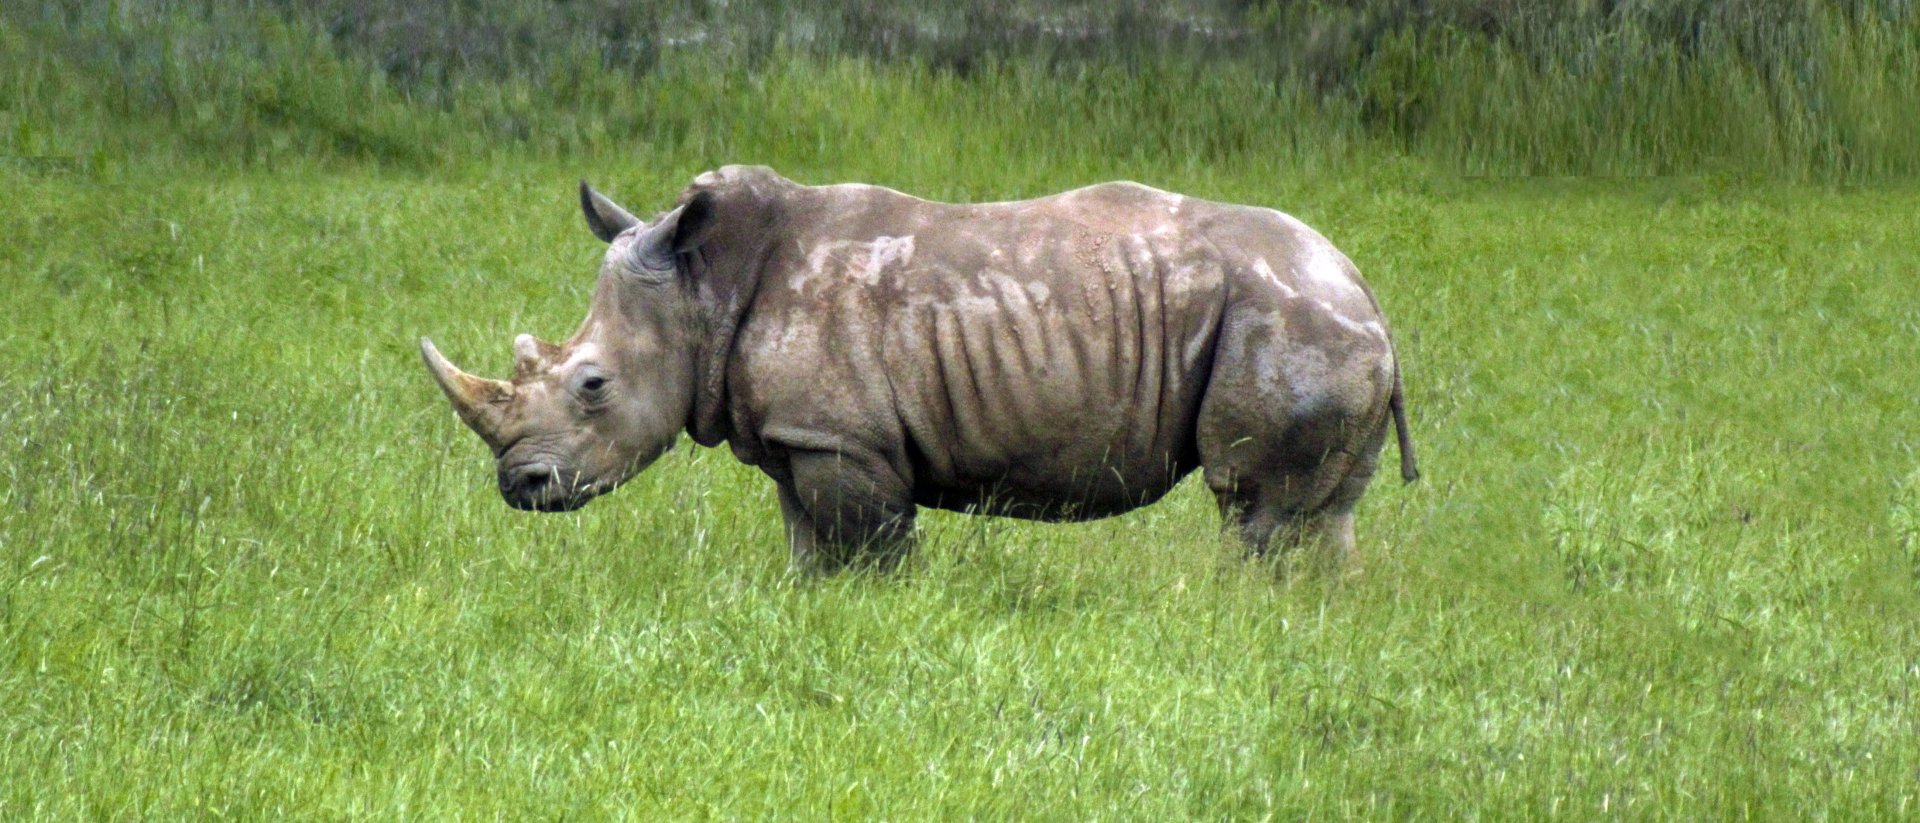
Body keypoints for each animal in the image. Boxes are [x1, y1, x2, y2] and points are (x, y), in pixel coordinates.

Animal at [421, 166, 1417, 572]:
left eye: (591, 385)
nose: (520, 486)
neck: (703, 290)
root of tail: (1364, 287)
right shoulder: (801, 437)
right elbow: (810, 549)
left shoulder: (845, 439)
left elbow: (873, 551)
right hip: (1321, 324)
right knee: (1322, 518)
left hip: (1289, 322)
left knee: (1257, 510)